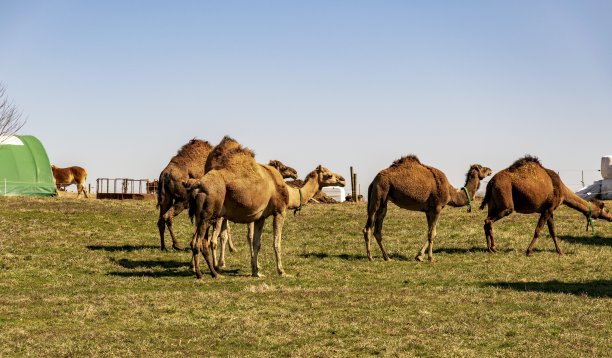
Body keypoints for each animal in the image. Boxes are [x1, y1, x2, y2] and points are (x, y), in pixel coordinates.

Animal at [360, 155, 490, 262]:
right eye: (481, 167)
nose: (490, 170)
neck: (450, 192)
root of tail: (373, 181)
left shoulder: (429, 210)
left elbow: (431, 232)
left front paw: (419, 256)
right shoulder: (437, 208)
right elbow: (432, 233)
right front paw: (430, 258)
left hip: (384, 201)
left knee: (378, 230)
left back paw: (387, 257)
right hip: (379, 193)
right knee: (368, 227)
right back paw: (370, 257)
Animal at [480, 156, 608, 255]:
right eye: (606, 210)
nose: (610, 217)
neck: (562, 191)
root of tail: (491, 182)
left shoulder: (549, 210)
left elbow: (553, 231)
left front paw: (560, 252)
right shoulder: (548, 209)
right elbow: (538, 230)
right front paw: (529, 251)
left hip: (493, 203)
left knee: (486, 221)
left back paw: (489, 248)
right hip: (506, 198)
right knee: (490, 220)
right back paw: (493, 248)